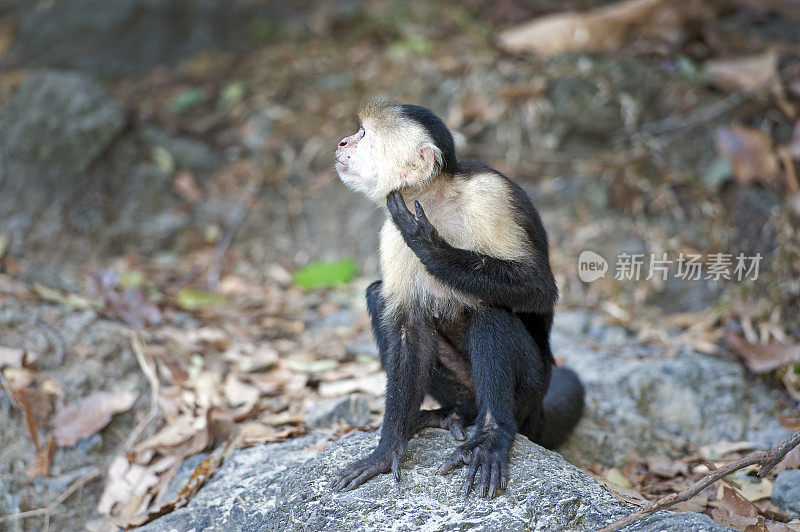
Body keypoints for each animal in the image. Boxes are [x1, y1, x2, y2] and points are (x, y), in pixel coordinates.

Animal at [328, 96, 584, 498]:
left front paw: (431, 248)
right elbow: (408, 327)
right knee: (377, 295)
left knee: (491, 308)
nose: (342, 142)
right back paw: (456, 414)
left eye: (364, 134)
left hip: (532, 390)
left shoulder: (490, 194)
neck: (434, 199)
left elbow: (539, 287)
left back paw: (492, 434)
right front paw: (386, 450)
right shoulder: (390, 229)